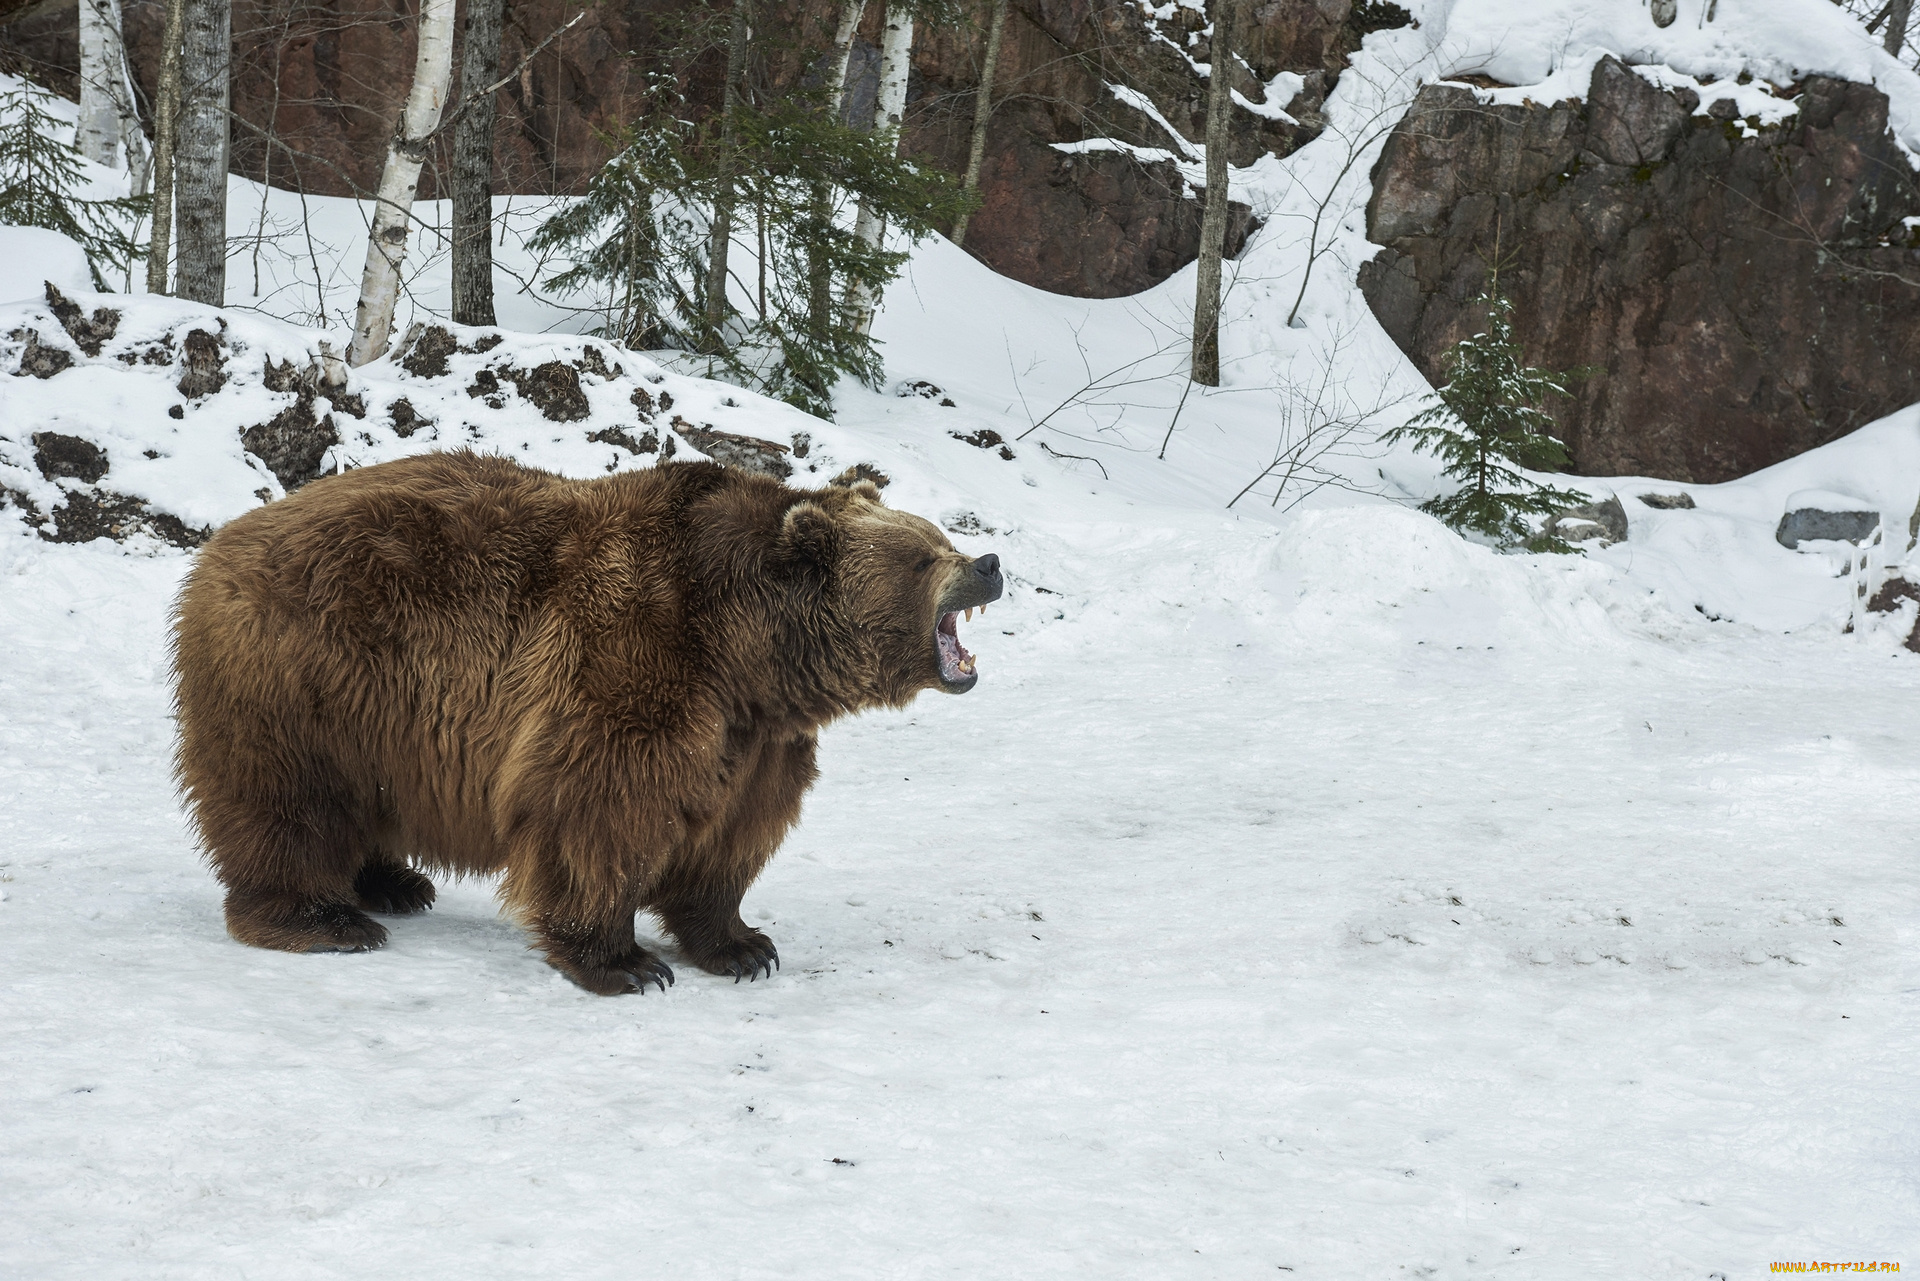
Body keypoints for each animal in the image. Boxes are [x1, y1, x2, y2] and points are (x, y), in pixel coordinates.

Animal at [170, 451, 1006, 990]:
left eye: (940, 537)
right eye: (923, 554)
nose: (990, 562)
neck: (750, 652)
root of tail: (220, 543)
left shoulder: (757, 736)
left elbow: (734, 832)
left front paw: (742, 944)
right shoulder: (635, 659)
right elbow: (600, 807)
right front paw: (625, 962)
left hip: (372, 711)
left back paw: (394, 881)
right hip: (308, 673)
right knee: (288, 797)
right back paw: (321, 917)